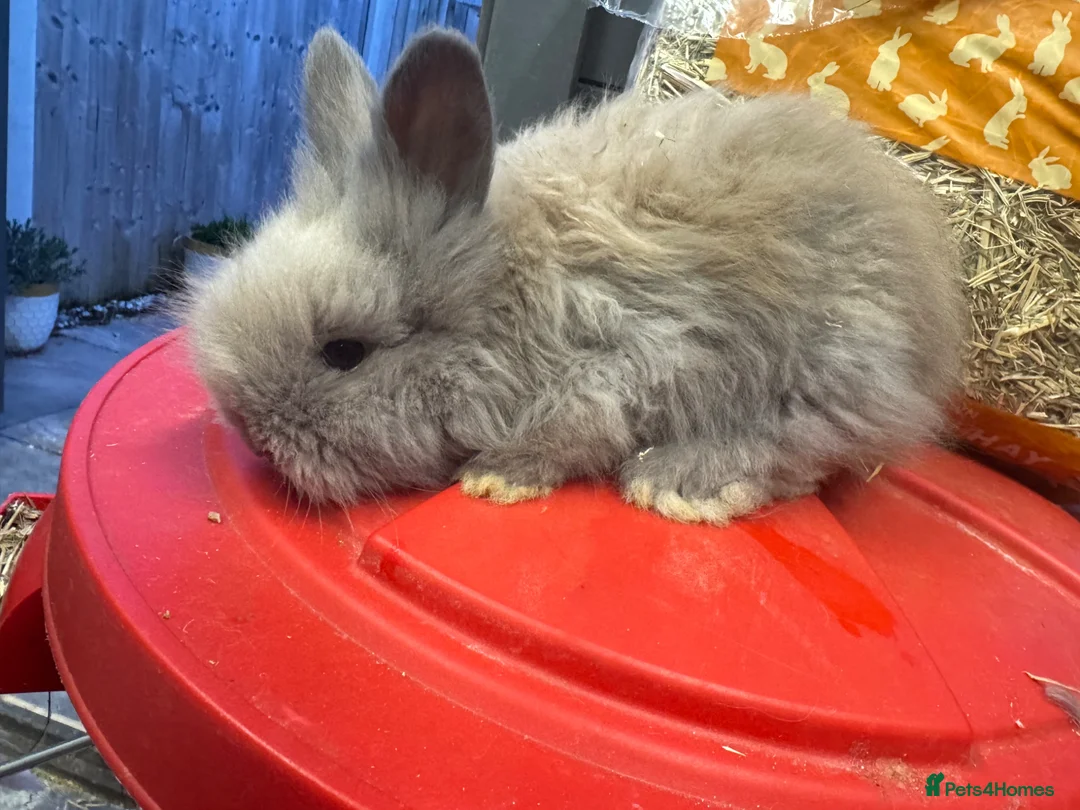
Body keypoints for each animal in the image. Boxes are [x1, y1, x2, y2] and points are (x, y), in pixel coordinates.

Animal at [180, 27, 966, 526]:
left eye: (344, 352)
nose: (251, 436)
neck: (506, 294)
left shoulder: (628, 359)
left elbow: (575, 432)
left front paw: (497, 476)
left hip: (827, 366)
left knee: (804, 449)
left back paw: (674, 483)